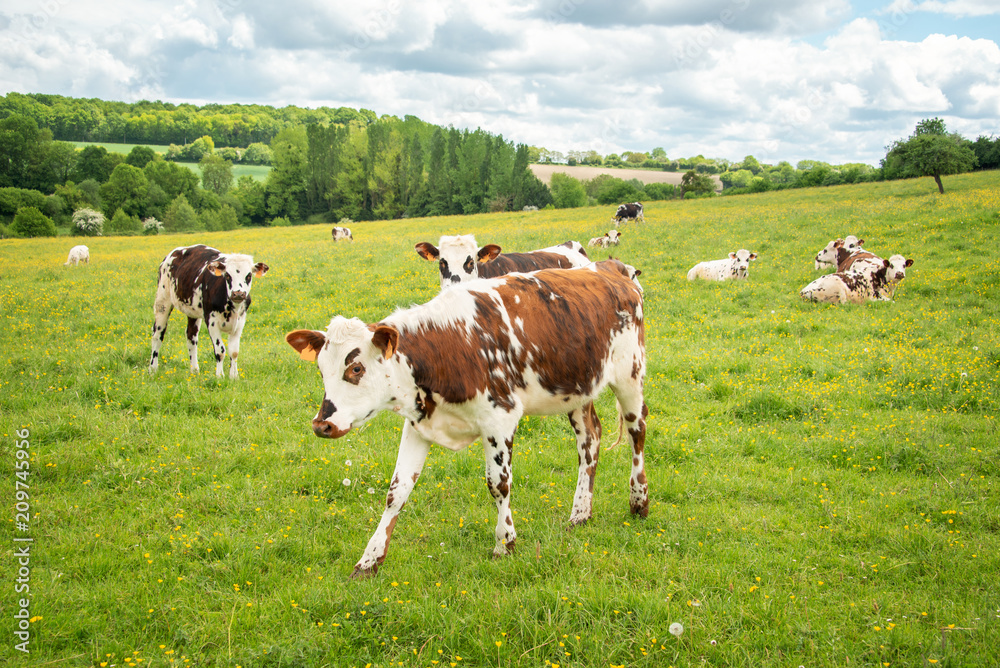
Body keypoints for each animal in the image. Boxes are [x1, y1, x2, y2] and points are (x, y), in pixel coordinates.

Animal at [148, 245, 270, 380]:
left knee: (191, 336)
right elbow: (220, 350)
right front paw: (220, 375)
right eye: (227, 275)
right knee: (157, 335)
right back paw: (153, 369)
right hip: (162, 301)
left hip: (192, 312)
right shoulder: (211, 321)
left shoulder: (240, 321)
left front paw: (234, 376)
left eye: (248, 276)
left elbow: (234, 351)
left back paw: (194, 370)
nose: (238, 293)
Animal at [290, 260, 648, 580]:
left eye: (356, 368)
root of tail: (610, 267)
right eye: (321, 369)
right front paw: (368, 561)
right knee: (590, 439)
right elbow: (396, 492)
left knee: (637, 430)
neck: (445, 349)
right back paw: (580, 514)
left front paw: (505, 544)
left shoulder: (500, 419)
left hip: (630, 374)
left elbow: (498, 484)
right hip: (578, 389)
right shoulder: (418, 426)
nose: (321, 424)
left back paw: (639, 502)